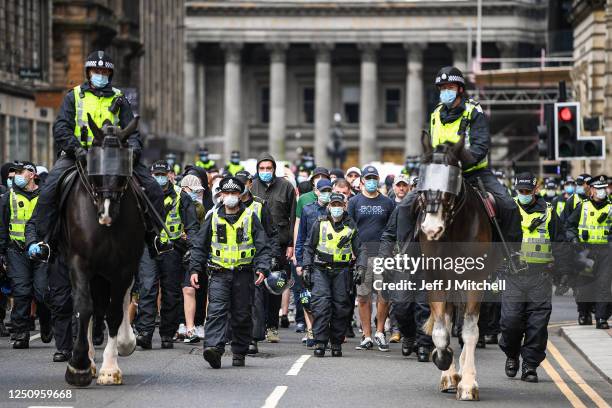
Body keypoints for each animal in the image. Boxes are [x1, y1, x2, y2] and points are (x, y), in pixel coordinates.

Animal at [418, 132, 500, 400]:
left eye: (451, 183)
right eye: (422, 181)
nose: (431, 229)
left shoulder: (476, 281)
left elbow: (470, 330)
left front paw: (468, 383)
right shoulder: (436, 279)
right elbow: (441, 330)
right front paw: (443, 361)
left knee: (465, 324)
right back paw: (451, 373)